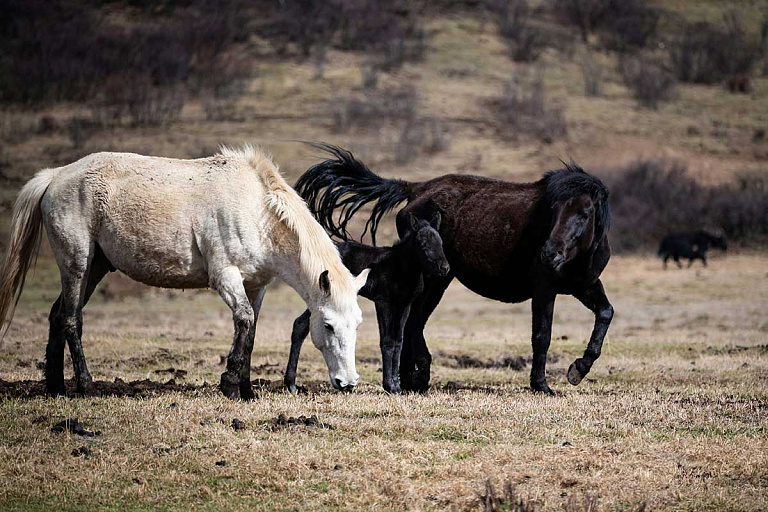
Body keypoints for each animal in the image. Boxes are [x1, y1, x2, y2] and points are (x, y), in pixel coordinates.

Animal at [0, 146, 368, 398]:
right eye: (328, 325)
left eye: (357, 324)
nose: (348, 382)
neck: (258, 211)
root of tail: (56, 176)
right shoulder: (226, 277)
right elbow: (244, 320)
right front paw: (229, 385)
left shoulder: (257, 285)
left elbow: (251, 330)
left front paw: (246, 390)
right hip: (76, 263)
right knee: (71, 319)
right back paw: (86, 386)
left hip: (94, 268)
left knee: (56, 314)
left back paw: (57, 387)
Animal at [284, 210, 450, 394]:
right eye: (422, 243)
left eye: (441, 242)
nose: (444, 268)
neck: (400, 268)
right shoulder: (383, 301)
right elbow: (387, 340)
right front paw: (389, 386)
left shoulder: (404, 305)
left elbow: (398, 340)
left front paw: (396, 386)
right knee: (300, 324)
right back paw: (291, 383)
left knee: (301, 325)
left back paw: (291, 384)